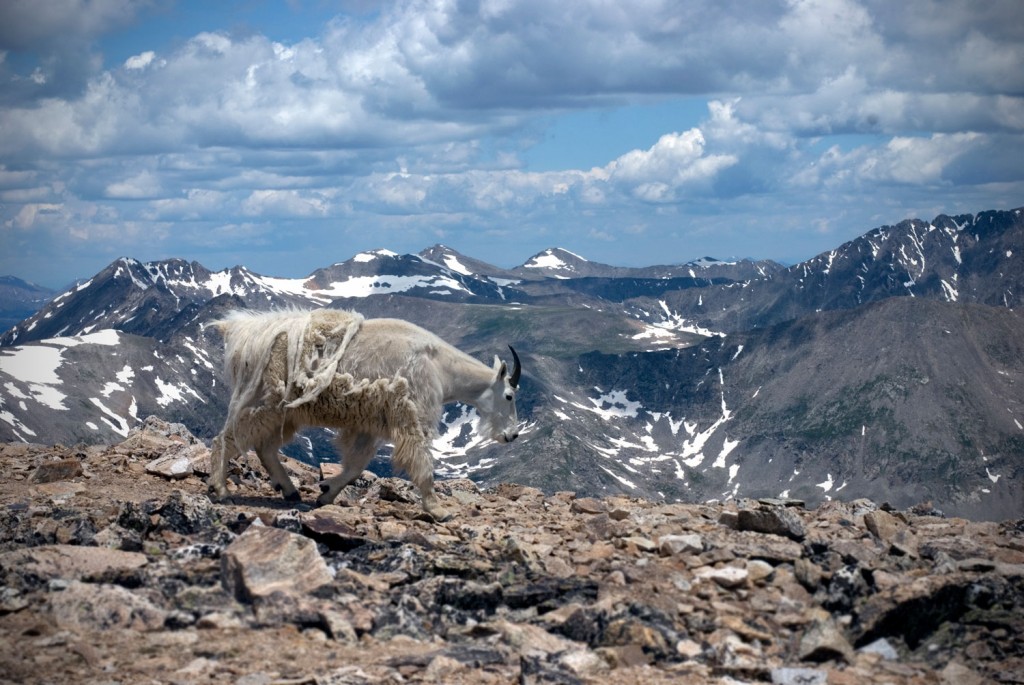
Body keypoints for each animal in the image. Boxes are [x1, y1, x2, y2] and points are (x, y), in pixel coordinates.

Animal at [209, 307, 528, 520]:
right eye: (509, 396)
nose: (511, 435)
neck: (441, 367)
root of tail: (242, 335)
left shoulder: (369, 424)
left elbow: (355, 466)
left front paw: (326, 493)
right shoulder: (413, 416)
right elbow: (422, 463)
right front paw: (438, 510)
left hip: (285, 414)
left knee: (265, 447)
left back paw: (289, 490)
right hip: (264, 403)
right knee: (226, 438)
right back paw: (219, 488)